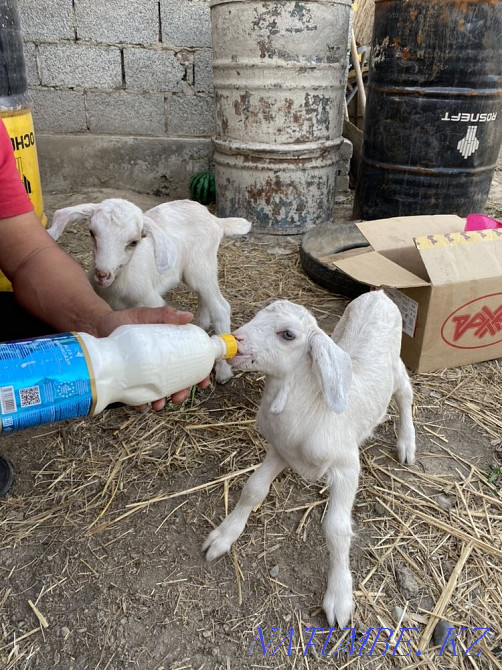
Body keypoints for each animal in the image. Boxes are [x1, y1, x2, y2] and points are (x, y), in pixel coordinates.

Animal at [48, 198, 251, 384]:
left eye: (133, 242)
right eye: (92, 233)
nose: (102, 275)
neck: (117, 288)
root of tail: (215, 219)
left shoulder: (151, 301)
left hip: (201, 265)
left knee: (221, 307)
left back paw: (223, 371)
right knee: (205, 297)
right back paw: (201, 324)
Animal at [202, 291, 416, 626]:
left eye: (288, 335)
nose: (235, 339)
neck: (311, 408)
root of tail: (380, 293)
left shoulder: (347, 466)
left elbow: (337, 529)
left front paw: (339, 597)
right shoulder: (279, 449)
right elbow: (253, 490)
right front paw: (224, 536)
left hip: (394, 363)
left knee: (405, 390)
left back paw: (407, 443)